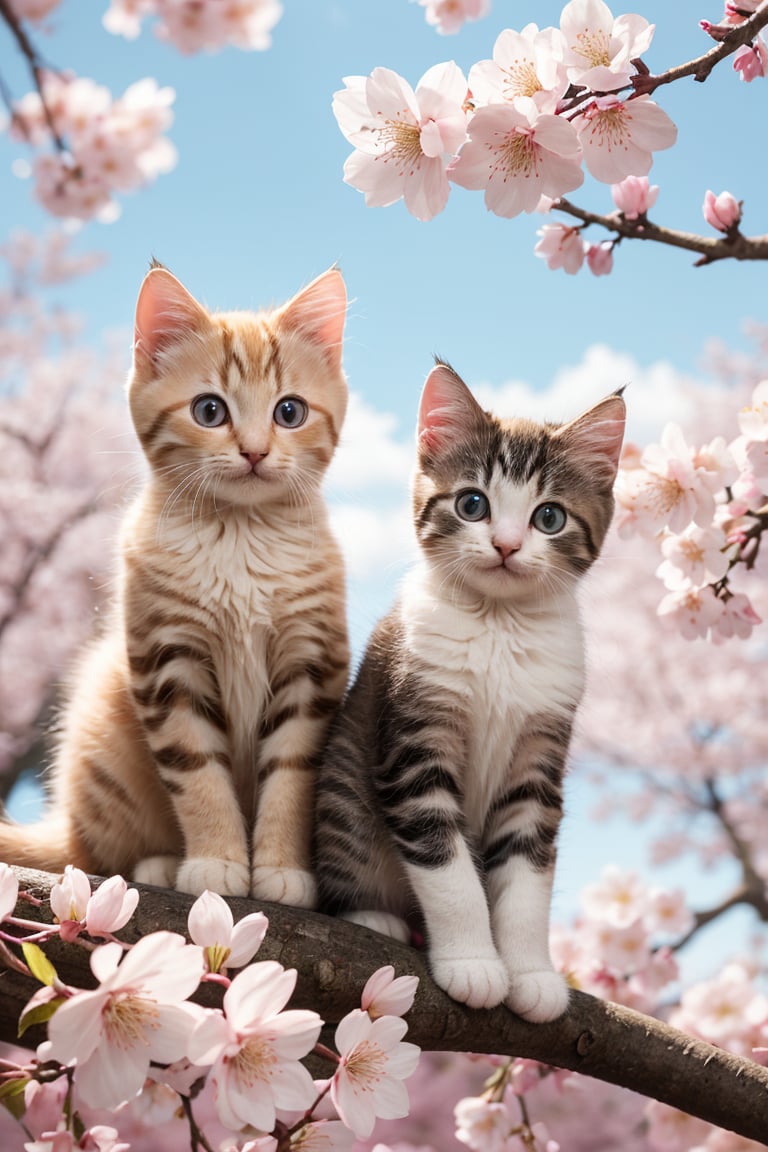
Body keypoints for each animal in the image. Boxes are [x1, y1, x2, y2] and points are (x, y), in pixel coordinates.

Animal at [1, 264, 350, 903]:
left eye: (289, 412)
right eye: (210, 411)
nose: (255, 452)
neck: (240, 534)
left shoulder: (311, 663)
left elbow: (292, 773)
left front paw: (283, 871)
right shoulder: (168, 660)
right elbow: (195, 766)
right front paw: (216, 862)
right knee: (91, 856)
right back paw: (159, 864)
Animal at [313, 361, 626, 1018]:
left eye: (549, 517)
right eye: (472, 503)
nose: (505, 545)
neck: (499, 625)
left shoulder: (540, 757)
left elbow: (528, 873)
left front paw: (531, 972)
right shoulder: (413, 739)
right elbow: (446, 864)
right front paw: (474, 964)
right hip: (343, 786)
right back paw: (373, 918)